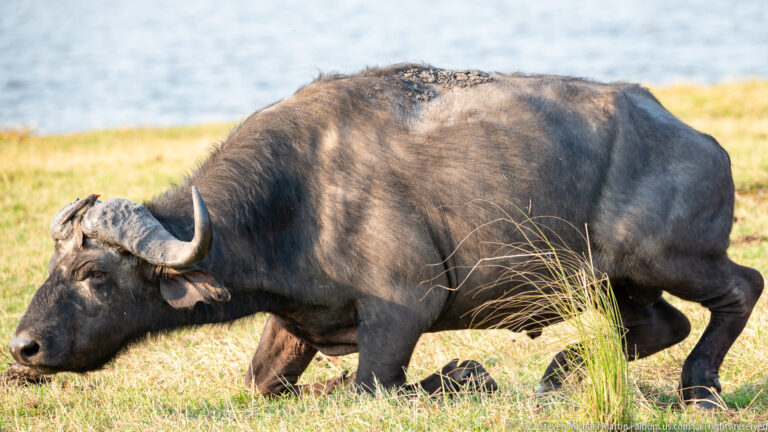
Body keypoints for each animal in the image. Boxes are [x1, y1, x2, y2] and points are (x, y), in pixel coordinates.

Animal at [9, 65, 763, 408]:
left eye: (95, 276)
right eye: (54, 267)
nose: (24, 349)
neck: (298, 198)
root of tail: (700, 142)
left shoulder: (404, 310)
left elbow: (371, 383)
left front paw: (466, 373)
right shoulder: (297, 320)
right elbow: (261, 383)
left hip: (668, 257)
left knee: (741, 287)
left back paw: (699, 383)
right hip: (618, 281)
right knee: (659, 325)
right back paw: (561, 373)